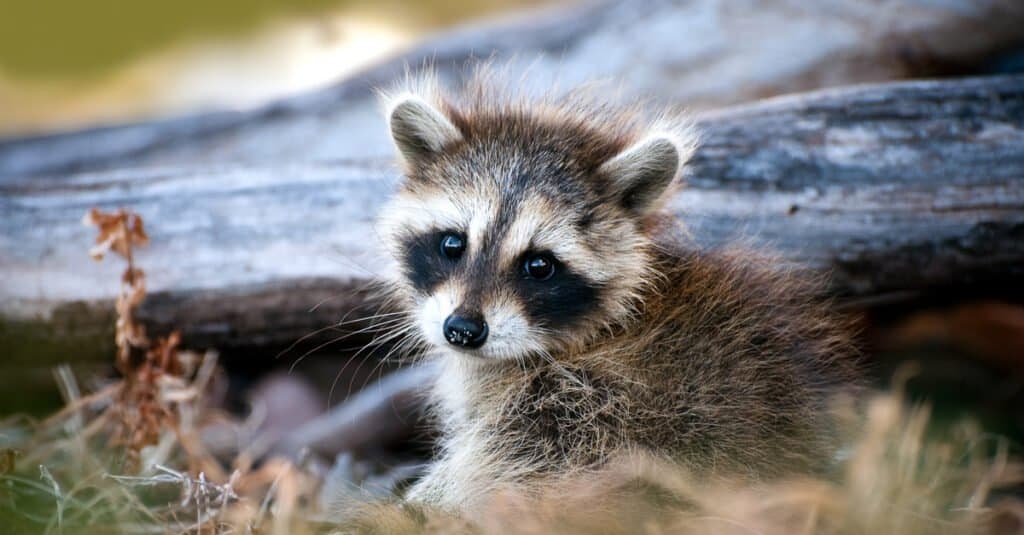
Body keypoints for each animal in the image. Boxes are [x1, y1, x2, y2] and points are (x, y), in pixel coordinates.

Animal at [372, 72, 860, 510]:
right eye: (452, 244)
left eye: (539, 265)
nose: (462, 330)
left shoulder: (593, 403)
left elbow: (514, 464)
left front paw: (427, 498)